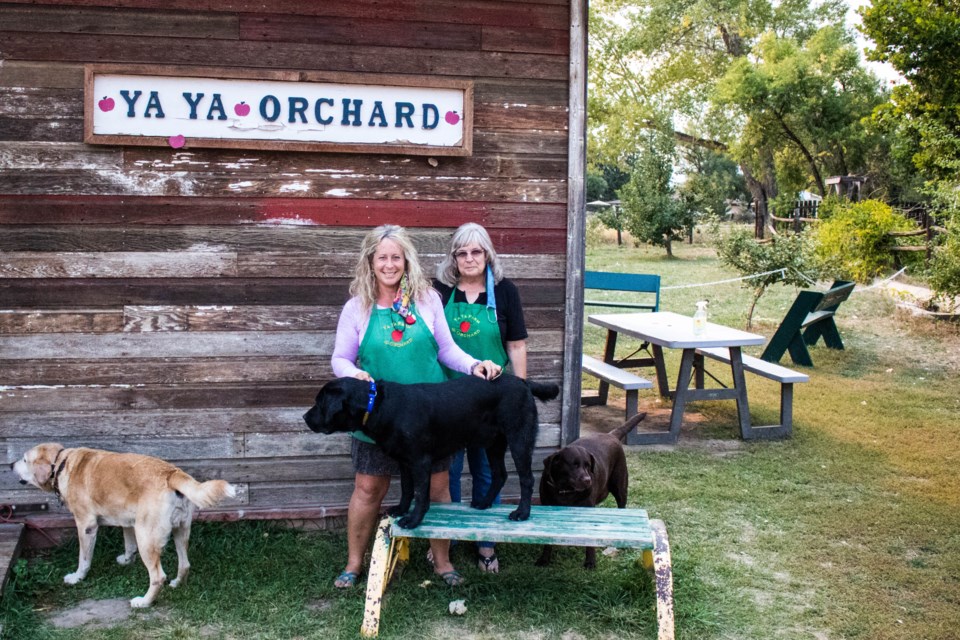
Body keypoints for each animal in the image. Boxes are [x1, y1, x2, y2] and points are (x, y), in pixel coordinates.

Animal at [12, 442, 236, 608]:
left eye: (24, 459)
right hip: (180, 531)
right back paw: (176, 583)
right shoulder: (128, 522)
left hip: (146, 538)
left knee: (158, 576)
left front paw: (77, 578)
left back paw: (144, 602)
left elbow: (84, 559)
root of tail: (171, 473)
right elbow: (128, 544)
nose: (10, 465)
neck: (61, 463)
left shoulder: (86, 525)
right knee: (184, 565)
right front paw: (127, 560)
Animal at [304, 372, 560, 528]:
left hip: (519, 439)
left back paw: (522, 513)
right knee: (500, 474)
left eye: (319, 403)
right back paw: (484, 502)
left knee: (526, 478)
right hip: (493, 443)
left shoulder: (420, 461)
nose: (305, 417)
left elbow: (420, 493)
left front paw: (413, 519)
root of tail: (523, 382)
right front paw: (401, 509)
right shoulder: (404, 461)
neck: (376, 404)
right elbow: (407, 489)